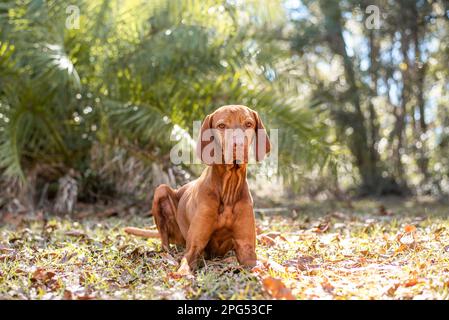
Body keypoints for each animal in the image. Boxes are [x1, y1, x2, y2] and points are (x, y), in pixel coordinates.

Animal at [123, 105, 270, 276]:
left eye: (248, 124)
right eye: (221, 125)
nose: (238, 145)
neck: (228, 189)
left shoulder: (246, 248)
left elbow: (256, 265)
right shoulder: (194, 247)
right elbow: (185, 266)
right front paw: (181, 275)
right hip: (161, 191)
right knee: (165, 243)